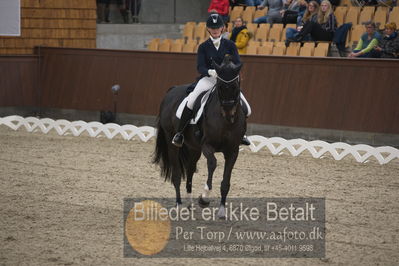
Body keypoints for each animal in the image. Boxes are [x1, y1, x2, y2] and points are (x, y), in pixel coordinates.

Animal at [153, 55, 247, 218]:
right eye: (220, 87)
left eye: (235, 86)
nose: (229, 115)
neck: (225, 122)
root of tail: (172, 90)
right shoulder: (207, 146)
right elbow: (213, 164)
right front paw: (204, 198)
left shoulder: (233, 150)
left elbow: (226, 182)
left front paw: (222, 210)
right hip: (172, 142)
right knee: (177, 173)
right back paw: (179, 205)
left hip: (193, 148)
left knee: (190, 170)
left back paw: (189, 203)